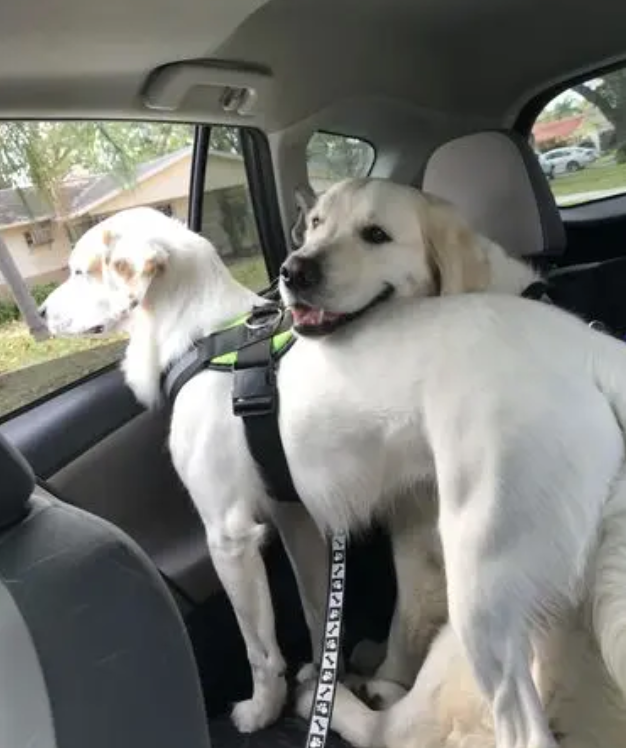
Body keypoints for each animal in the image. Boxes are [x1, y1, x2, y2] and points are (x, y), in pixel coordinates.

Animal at [276, 180, 626, 748]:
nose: (293, 270)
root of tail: (592, 350)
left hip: (477, 588)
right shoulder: (413, 532)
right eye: (315, 225)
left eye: (376, 235)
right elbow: (404, 617)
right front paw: (383, 669)